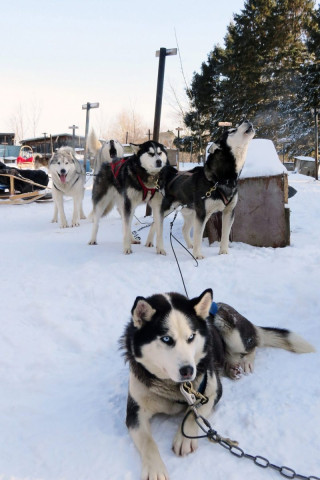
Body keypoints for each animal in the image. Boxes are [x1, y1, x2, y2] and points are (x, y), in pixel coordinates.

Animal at [121, 288, 314, 480]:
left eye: (191, 337)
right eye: (167, 339)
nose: (188, 370)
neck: (174, 386)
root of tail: (219, 303)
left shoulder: (212, 392)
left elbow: (192, 414)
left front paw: (184, 438)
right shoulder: (135, 412)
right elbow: (148, 442)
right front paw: (155, 469)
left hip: (233, 333)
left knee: (252, 346)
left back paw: (244, 362)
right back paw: (232, 366)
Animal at [158, 120, 255, 258]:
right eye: (232, 131)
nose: (247, 120)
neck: (221, 179)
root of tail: (173, 175)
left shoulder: (229, 212)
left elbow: (225, 235)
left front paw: (223, 252)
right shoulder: (202, 213)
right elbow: (198, 236)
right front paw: (197, 255)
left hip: (191, 213)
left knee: (184, 229)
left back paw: (189, 246)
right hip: (167, 210)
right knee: (157, 227)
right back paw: (159, 247)